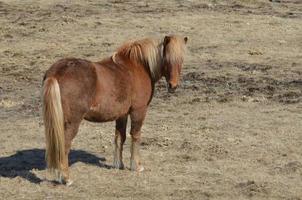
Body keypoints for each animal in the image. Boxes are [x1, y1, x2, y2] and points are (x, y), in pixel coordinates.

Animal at [41, 34, 188, 186]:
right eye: (167, 59)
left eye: (181, 59)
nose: (173, 86)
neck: (140, 66)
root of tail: (55, 73)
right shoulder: (138, 111)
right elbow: (135, 135)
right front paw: (136, 166)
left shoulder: (122, 114)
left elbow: (119, 137)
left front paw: (119, 164)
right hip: (72, 122)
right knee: (64, 146)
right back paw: (66, 178)